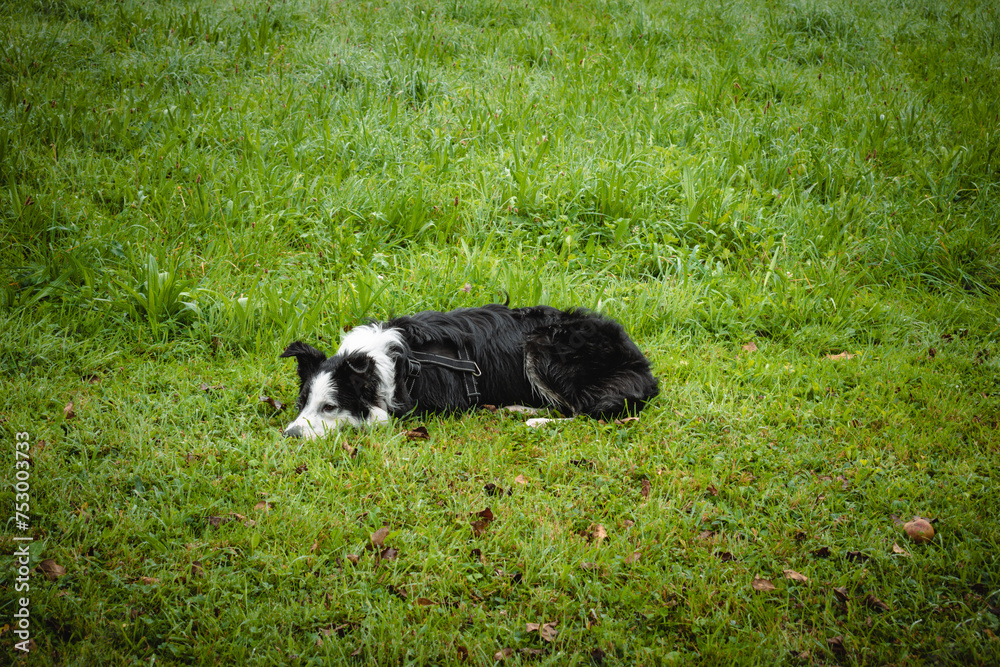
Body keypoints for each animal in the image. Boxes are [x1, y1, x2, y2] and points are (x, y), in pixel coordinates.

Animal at [280, 306, 656, 440]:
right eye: (301, 403)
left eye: (330, 407)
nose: (289, 435)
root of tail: (644, 370)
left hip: (544, 344)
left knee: (583, 411)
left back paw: (536, 421)